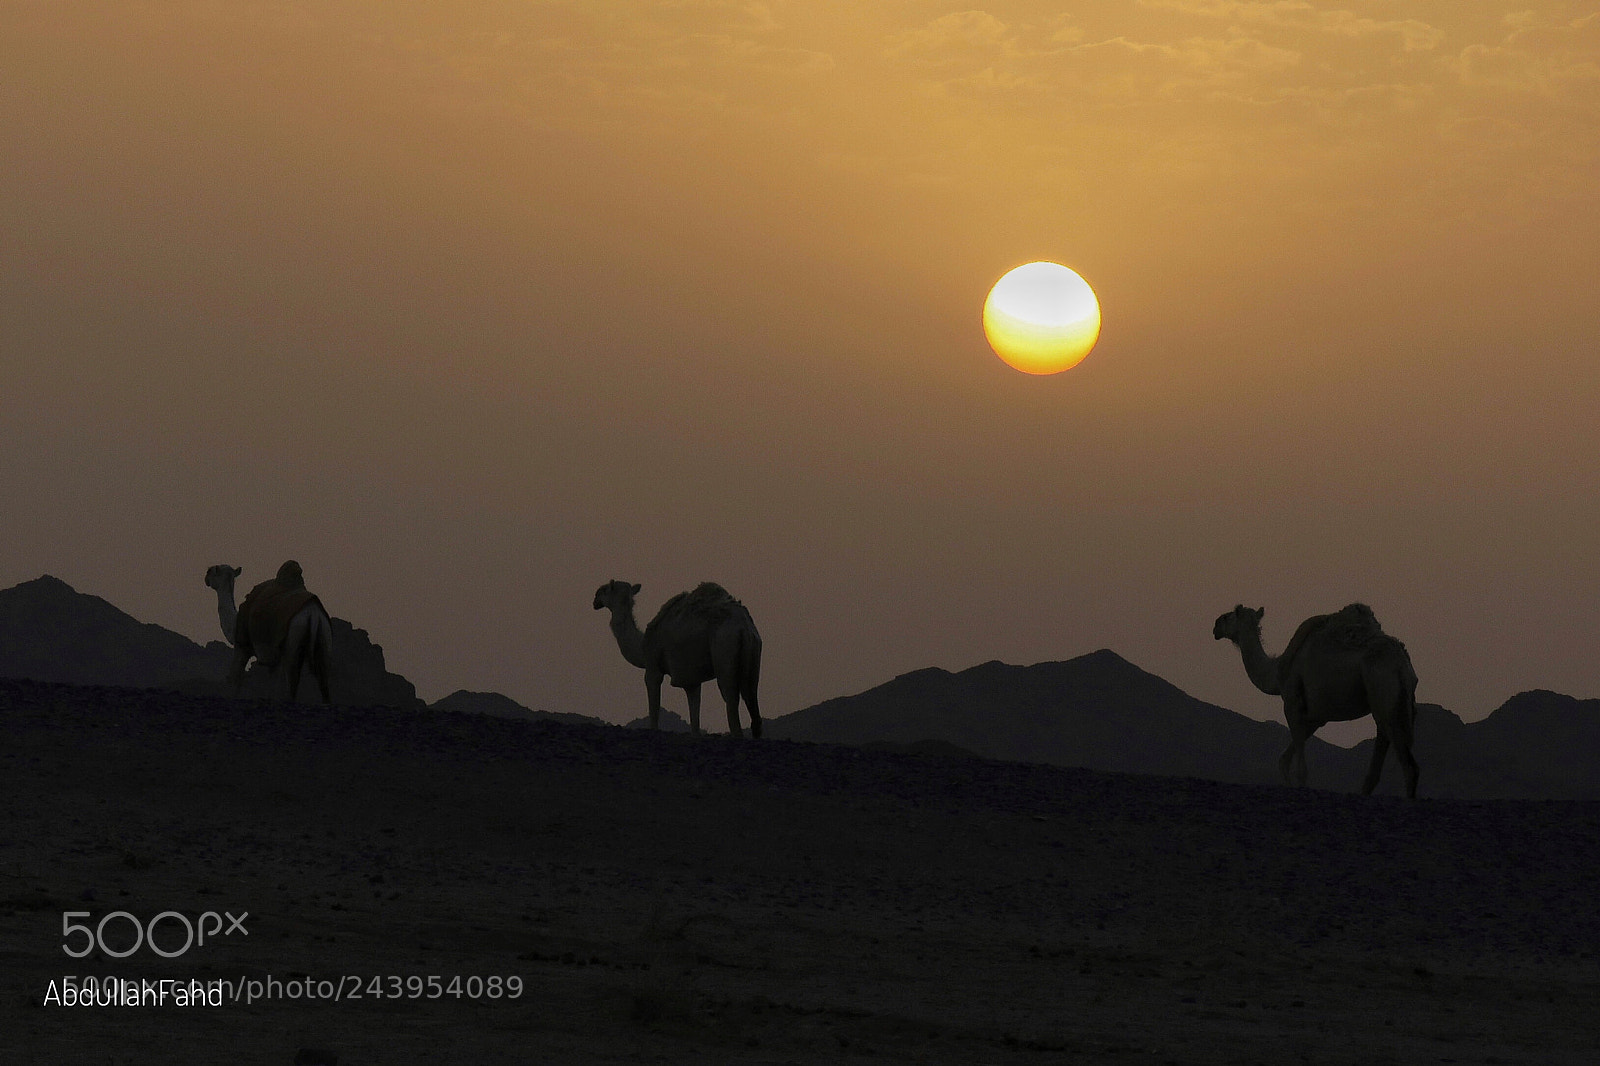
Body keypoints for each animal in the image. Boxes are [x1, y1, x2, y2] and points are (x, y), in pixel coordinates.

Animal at [205, 561, 333, 704]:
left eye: (212, 570)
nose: (206, 578)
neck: (235, 622)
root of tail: (313, 614)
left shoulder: (242, 646)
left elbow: (234, 680)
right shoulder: (273, 654)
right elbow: (272, 683)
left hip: (293, 640)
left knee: (292, 683)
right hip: (325, 635)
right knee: (325, 681)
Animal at [592, 580, 763, 737]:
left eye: (606, 589)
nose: (595, 599)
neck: (642, 645)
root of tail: (744, 629)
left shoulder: (653, 667)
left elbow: (654, 711)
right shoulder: (692, 680)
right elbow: (695, 718)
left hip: (724, 651)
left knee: (731, 699)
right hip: (754, 657)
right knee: (752, 702)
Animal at [1213, 603, 1418, 798]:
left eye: (1227, 616)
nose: (1215, 626)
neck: (1277, 673)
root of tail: (1402, 665)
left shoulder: (1292, 703)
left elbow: (1300, 769)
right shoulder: (1317, 717)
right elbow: (1283, 759)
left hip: (1383, 693)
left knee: (1407, 763)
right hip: (1395, 702)